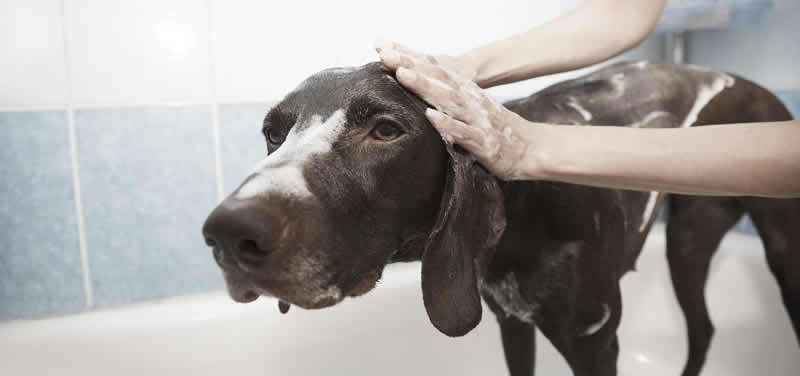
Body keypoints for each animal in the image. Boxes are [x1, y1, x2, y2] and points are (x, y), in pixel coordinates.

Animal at [202, 61, 800, 376]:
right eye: (273, 134)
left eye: (386, 130)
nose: (227, 234)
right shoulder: (511, 323)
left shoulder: (595, 343)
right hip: (689, 242)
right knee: (702, 327)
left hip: (769, 251)